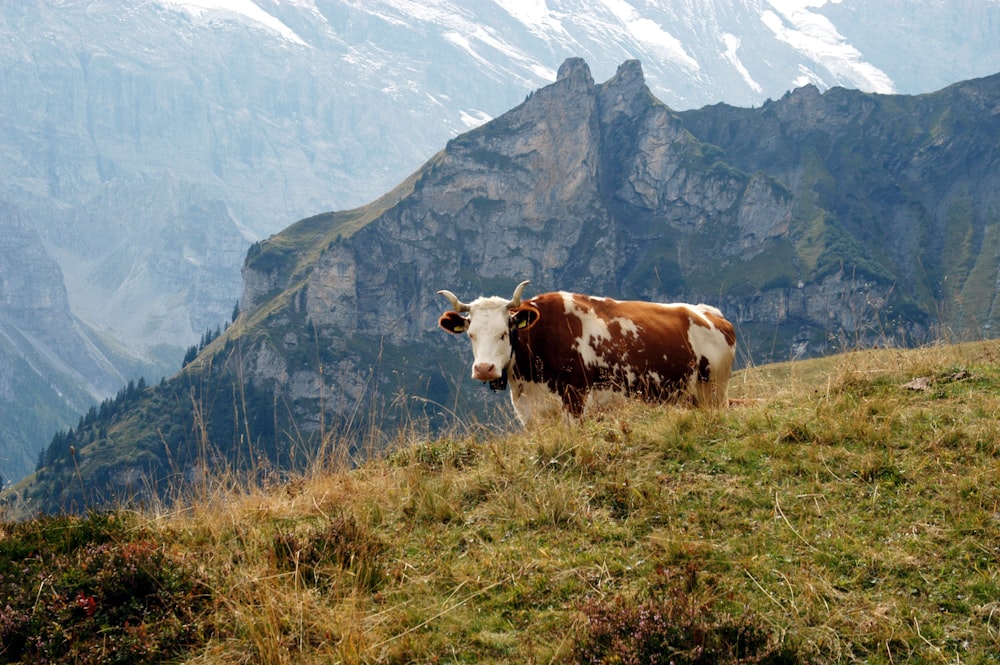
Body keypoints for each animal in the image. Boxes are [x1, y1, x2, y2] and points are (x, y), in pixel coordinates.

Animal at [436, 278, 736, 426]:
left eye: (503, 332)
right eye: (471, 335)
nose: (484, 369)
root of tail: (708, 312)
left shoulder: (575, 401)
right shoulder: (530, 415)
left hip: (715, 393)